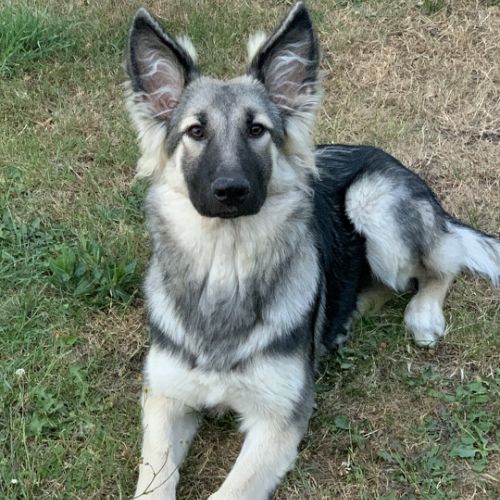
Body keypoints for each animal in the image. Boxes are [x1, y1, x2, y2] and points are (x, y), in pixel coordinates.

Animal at [125, 3, 500, 498]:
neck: (226, 265)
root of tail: (396, 163)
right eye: (196, 131)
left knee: (440, 265)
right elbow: (154, 480)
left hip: (373, 202)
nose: (231, 191)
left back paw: (423, 315)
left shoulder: (279, 420)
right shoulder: (165, 399)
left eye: (257, 130)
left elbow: (229, 491)